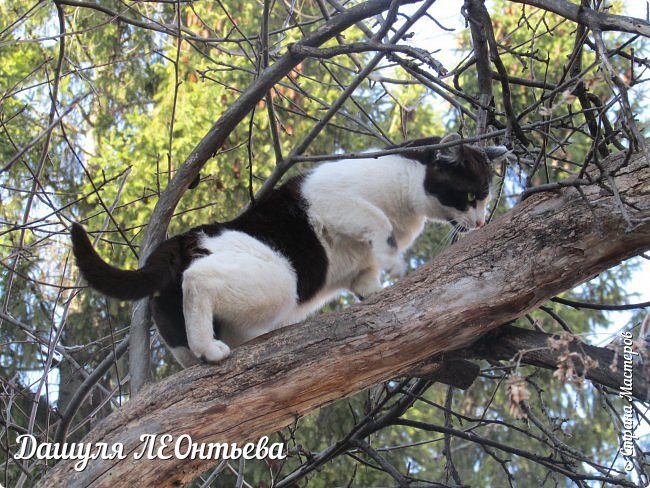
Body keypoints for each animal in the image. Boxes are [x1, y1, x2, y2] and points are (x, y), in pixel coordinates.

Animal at [71, 133, 506, 366]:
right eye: (472, 196)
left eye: (486, 198)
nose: (481, 222)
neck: (409, 205)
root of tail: (179, 240)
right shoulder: (335, 202)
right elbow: (378, 226)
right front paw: (395, 260)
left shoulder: (360, 271)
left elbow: (368, 284)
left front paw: (382, 289)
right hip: (279, 281)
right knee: (198, 280)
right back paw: (211, 349)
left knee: (180, 340)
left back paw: (201, 354)